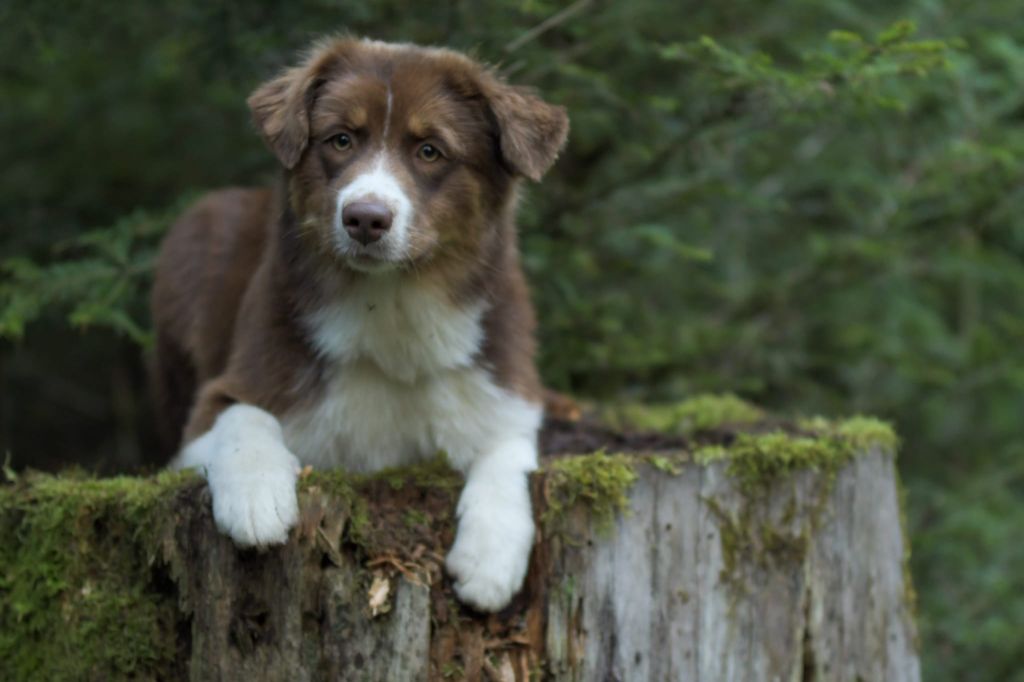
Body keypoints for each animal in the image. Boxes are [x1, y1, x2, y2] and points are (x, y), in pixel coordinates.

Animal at [149, 38, 569, 610]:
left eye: (430, 151)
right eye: (341, 139)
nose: (365, 218)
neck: (390, 305)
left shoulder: (503, 391)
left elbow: (508, 454)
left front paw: (490, 560)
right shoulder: (218, 404)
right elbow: (242, 415)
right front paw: (257, 498)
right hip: (198, 233)